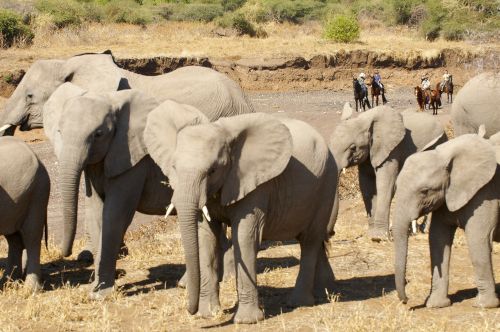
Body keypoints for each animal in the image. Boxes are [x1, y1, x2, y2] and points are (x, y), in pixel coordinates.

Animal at [145, 103, 340, 322]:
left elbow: (245, 236)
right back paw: (325, 291)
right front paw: (208, 315)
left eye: (213, 171)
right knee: (313, 240)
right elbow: (206, 238)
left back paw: (300, 302)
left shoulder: (254, 183)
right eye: (174, 167)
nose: (190, 310)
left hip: (327, 184)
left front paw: (247, 321)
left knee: (310, 240)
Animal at [330, 104, 448, 241]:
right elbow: (366, 186)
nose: (332, 233)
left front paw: (379, 237)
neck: (364, 120)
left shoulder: (392, 151)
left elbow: (385, 185)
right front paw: (372, 234)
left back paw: (424, 230)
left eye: (353, 148)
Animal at [394, 133, 500, 308]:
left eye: (425, 191)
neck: (445, 155)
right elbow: (438, 238)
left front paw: (484, 305)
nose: (407, 301)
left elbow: (478, 238)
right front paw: (436, 305)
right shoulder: (445, 196)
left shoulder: (486, 191)